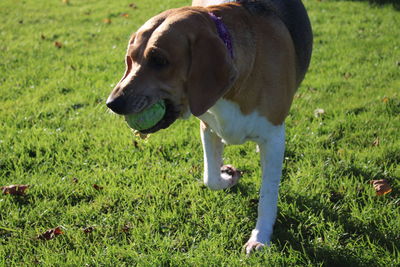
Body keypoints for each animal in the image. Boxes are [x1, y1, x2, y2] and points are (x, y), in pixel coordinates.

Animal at [106, 0, 312, 254]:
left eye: (160, 61)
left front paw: (260, 238)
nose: (112, 103)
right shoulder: (208, 127)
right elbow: (210, 178)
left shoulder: (273, 138)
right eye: (130, 58)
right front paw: (228, 177)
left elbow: (268, 194)